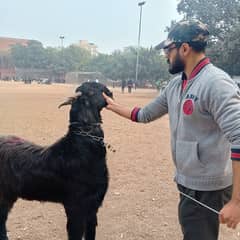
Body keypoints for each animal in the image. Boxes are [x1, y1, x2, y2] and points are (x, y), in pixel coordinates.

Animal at [0, 82, 111, 240]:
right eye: (92, 89)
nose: (110, 92)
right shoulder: (75, 206)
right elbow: (75, 233)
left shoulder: (93, 206)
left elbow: (90, 233)